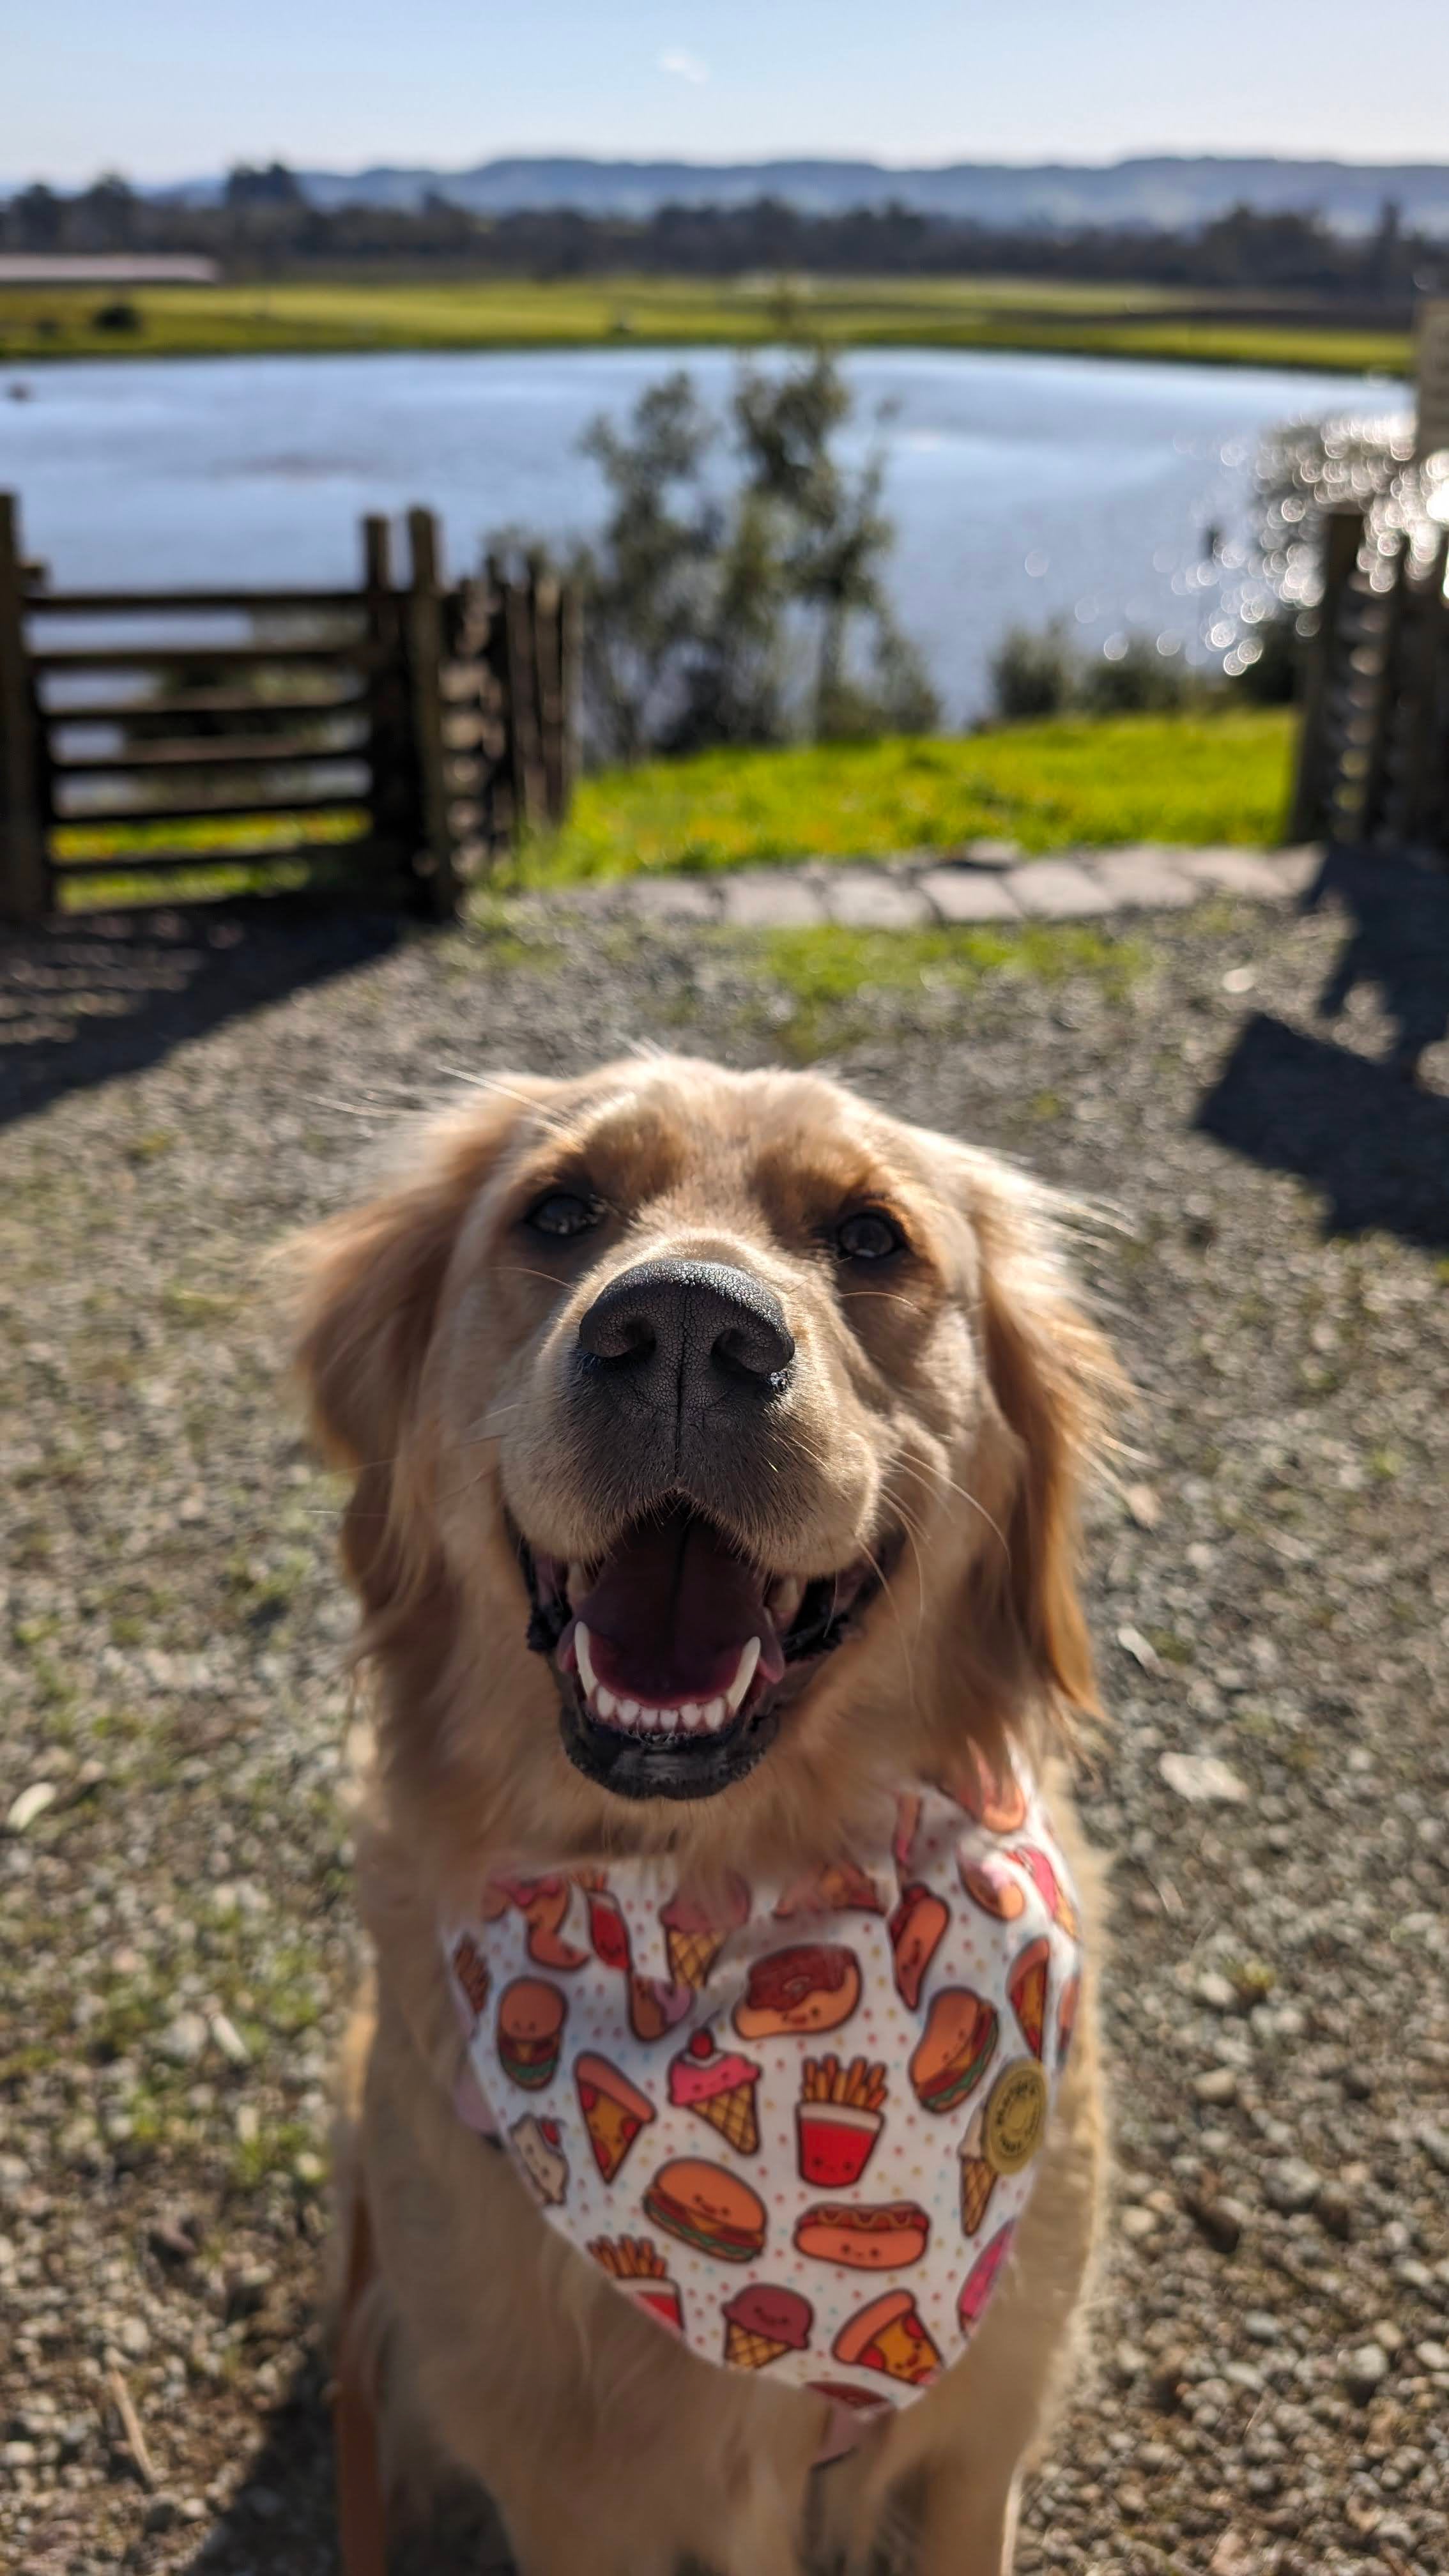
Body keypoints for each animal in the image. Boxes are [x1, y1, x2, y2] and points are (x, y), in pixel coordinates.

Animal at [290, 1051, 1103, 2576]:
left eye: (870, 1237)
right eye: (559, 1212)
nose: (680, 1328)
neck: (725, 1904)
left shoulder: (980, 2450)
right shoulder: (570, 2502)